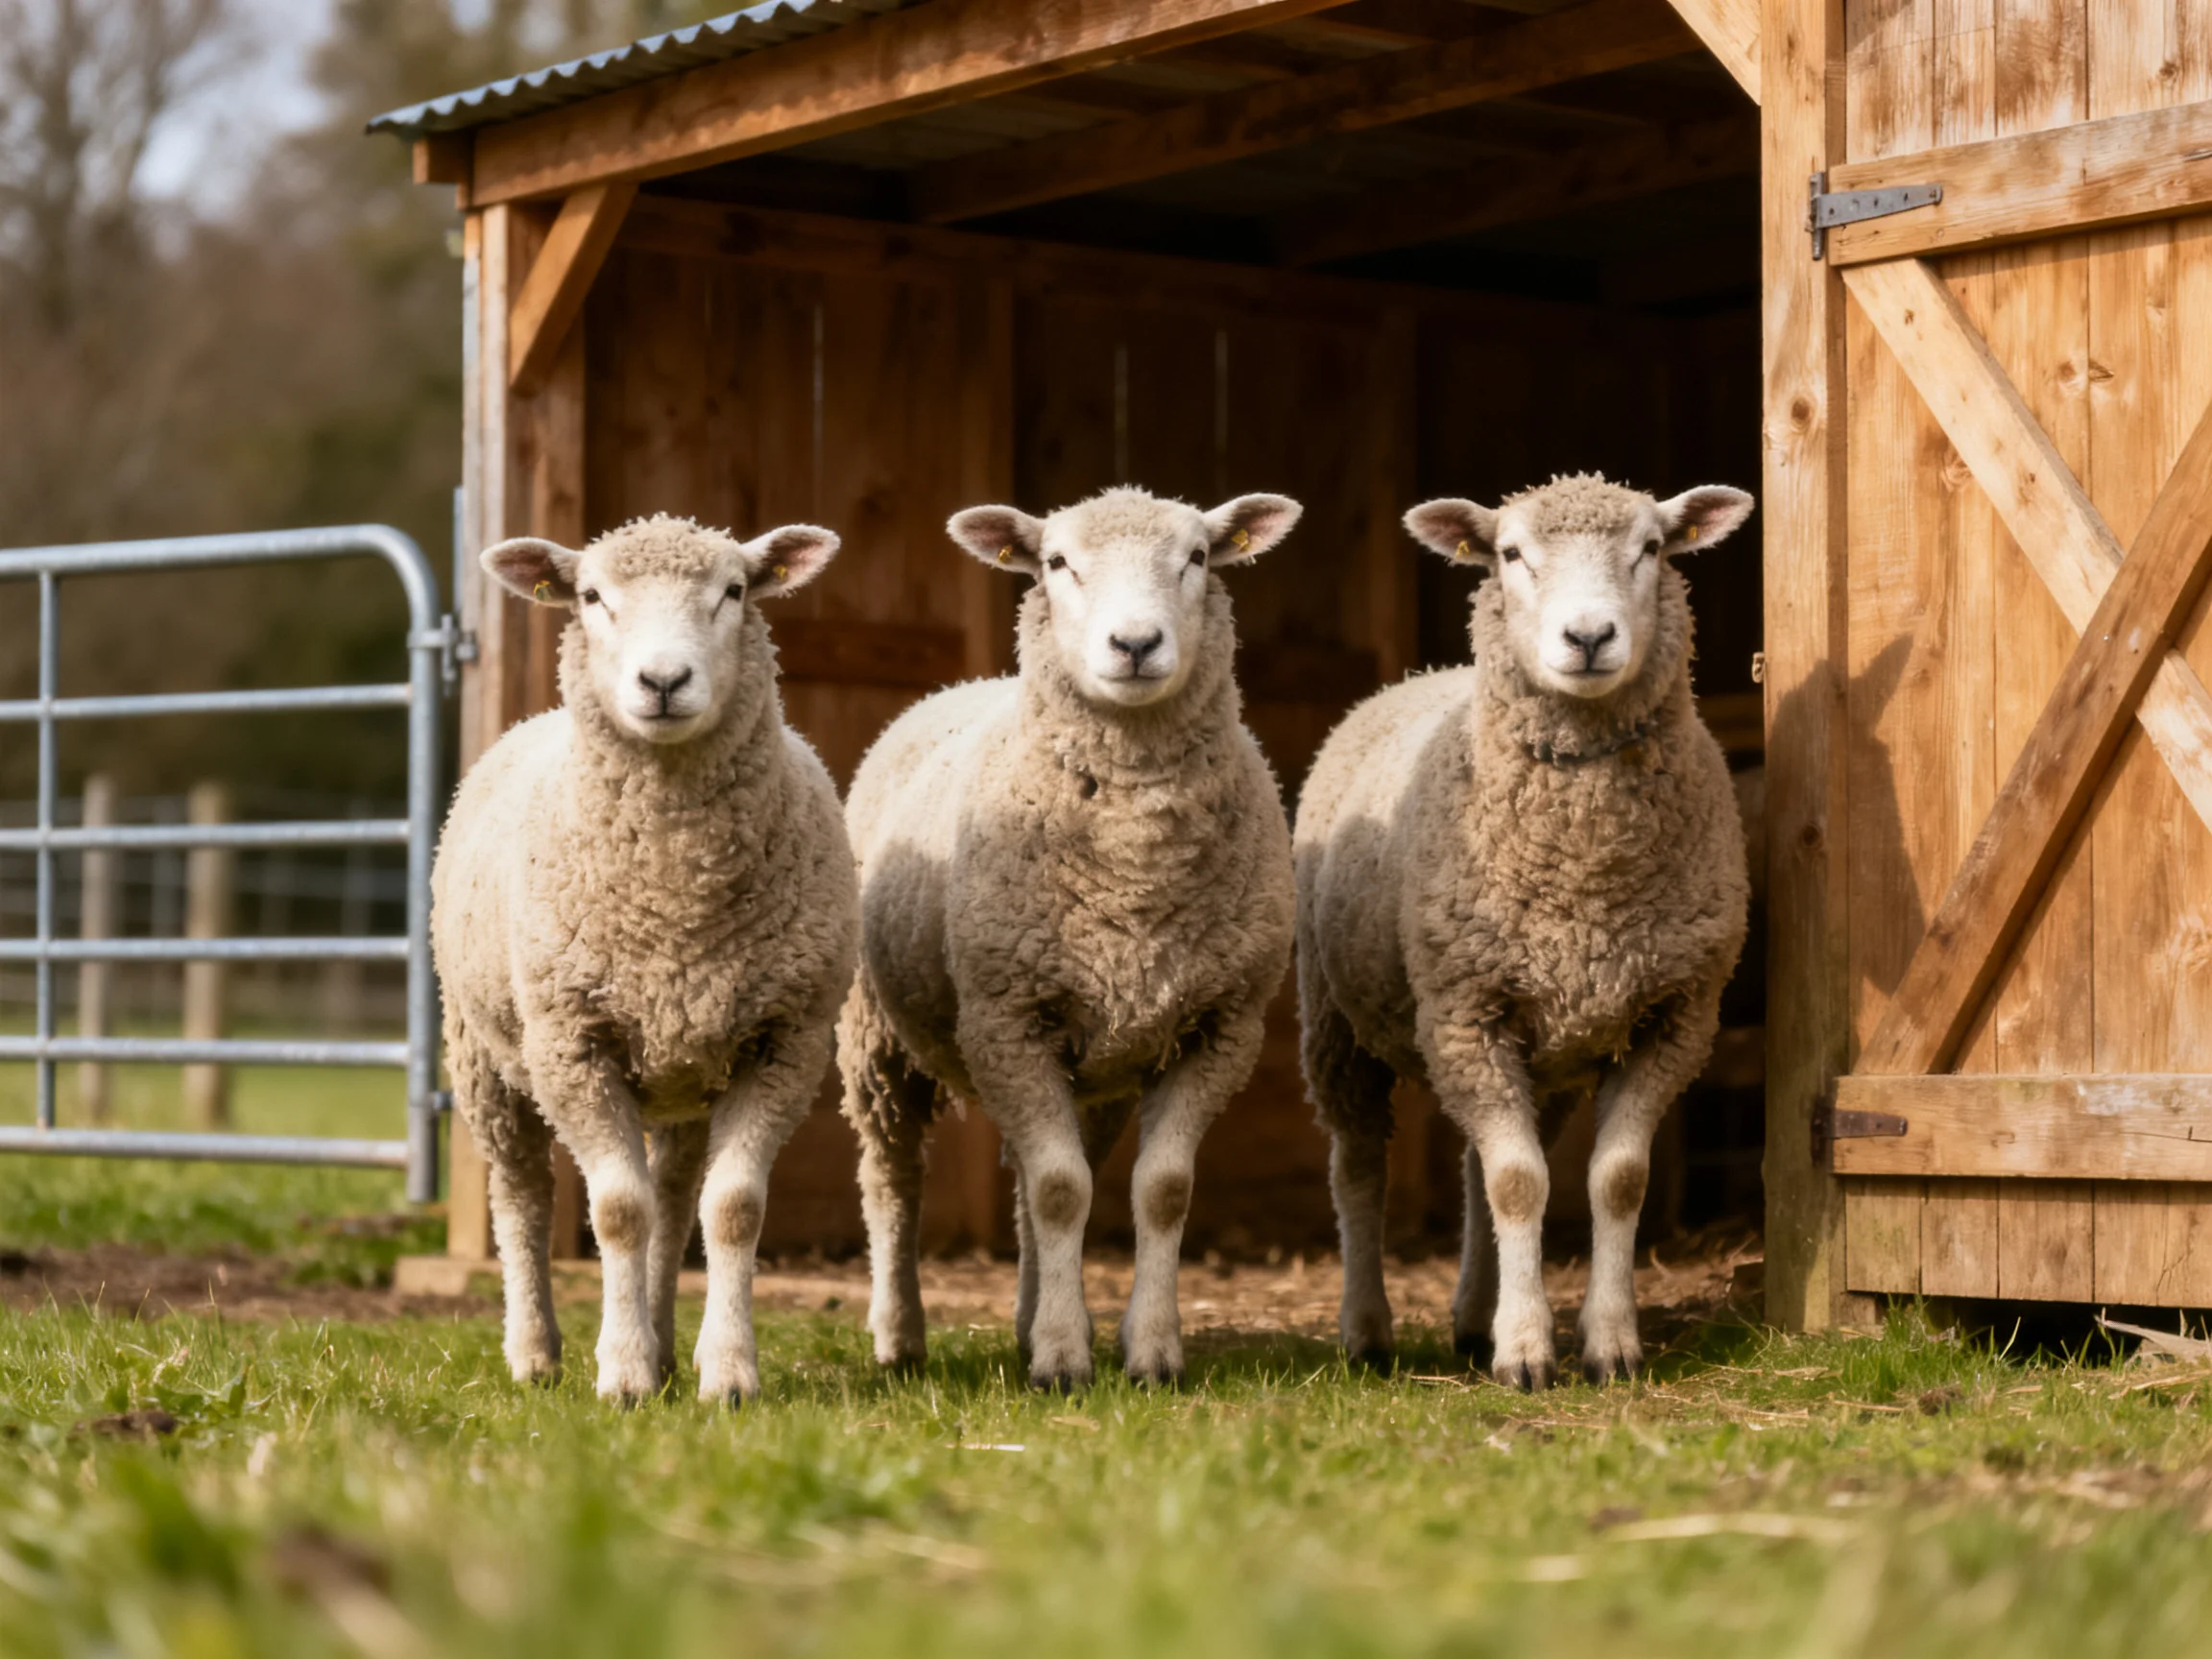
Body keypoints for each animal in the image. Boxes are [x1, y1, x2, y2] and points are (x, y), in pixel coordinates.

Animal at [432, 513, 857, 1405]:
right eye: (593, 596)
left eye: (733, 591)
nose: (663, 681)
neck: (676, 893)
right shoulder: (573, 1042)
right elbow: (616, 1211)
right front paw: (621, 1374)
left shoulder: (785, 1041)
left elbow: (731, 1209)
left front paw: (725, 1373)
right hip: (484, 1055)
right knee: (522, 1195)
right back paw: (535, 1352)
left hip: (684, 1067)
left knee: (674, 1196)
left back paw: (664, 1346)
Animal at [838, 486, 1300, 1390]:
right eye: (1056, 562)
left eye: (1198, 556)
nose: (1136, 645)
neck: (1135, 861)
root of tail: (959, 685)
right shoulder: (1008, 1016)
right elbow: (1060, 1191)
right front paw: (1061, 1362)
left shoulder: (1220, 1025)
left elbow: (1157, 1190)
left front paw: (1147, 1351)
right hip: (881, 1039)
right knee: (894, 1178)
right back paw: (899, 1335)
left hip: (1097, 1062)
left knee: (1033, 1180)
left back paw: (1029, 1317)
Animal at [1294, 474, 1752, 1390]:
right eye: (1510, 553)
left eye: (1653, 548)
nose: (1589, 636)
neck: (1586, 874)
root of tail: (1415, 676)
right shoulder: (1464, 1011)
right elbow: (1518, 1184)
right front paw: (1528, 1352)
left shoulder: (1675, 1016)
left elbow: (1613, 1180)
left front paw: (1608, 1341)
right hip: (1337, 1021)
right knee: (1359, 1166)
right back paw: (1368, 1331)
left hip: (1542, 1050)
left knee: (1477, 1165)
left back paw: (1475, 1319)